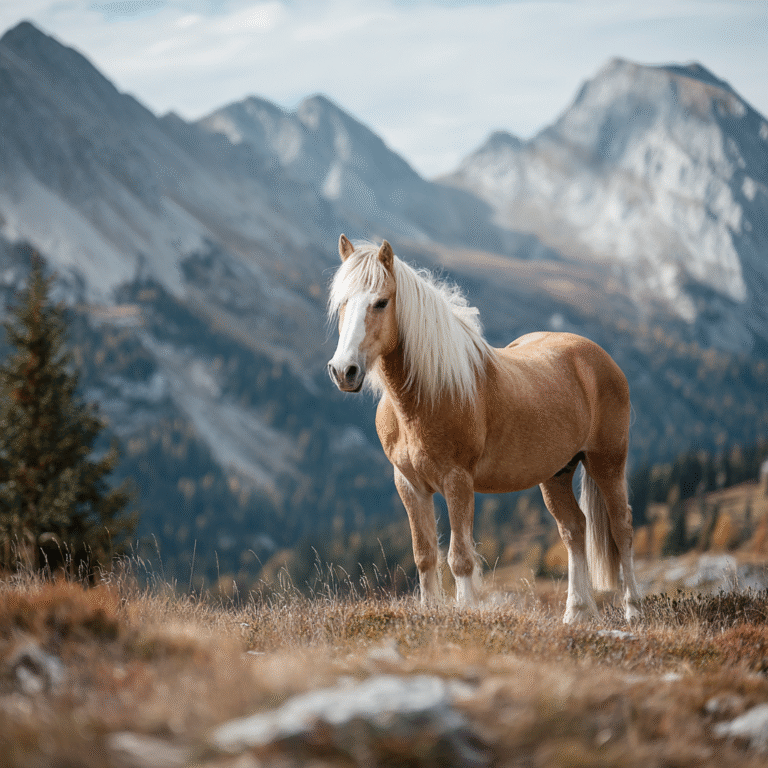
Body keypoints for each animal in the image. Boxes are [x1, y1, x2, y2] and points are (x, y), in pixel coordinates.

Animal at [327, 235, 641, 624]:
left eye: (381, 302)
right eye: (342, 302)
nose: (344, 371)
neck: (425, 395)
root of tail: (599, 358)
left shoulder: (457, 480)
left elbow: (460, 557)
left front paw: (466, 612)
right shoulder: (409, 484)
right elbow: (424, 554)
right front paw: (429, 611)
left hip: (607, 462)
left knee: (622, 527)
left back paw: (632, 611)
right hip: (557, 473)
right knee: (574, 529)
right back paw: (576, 613)